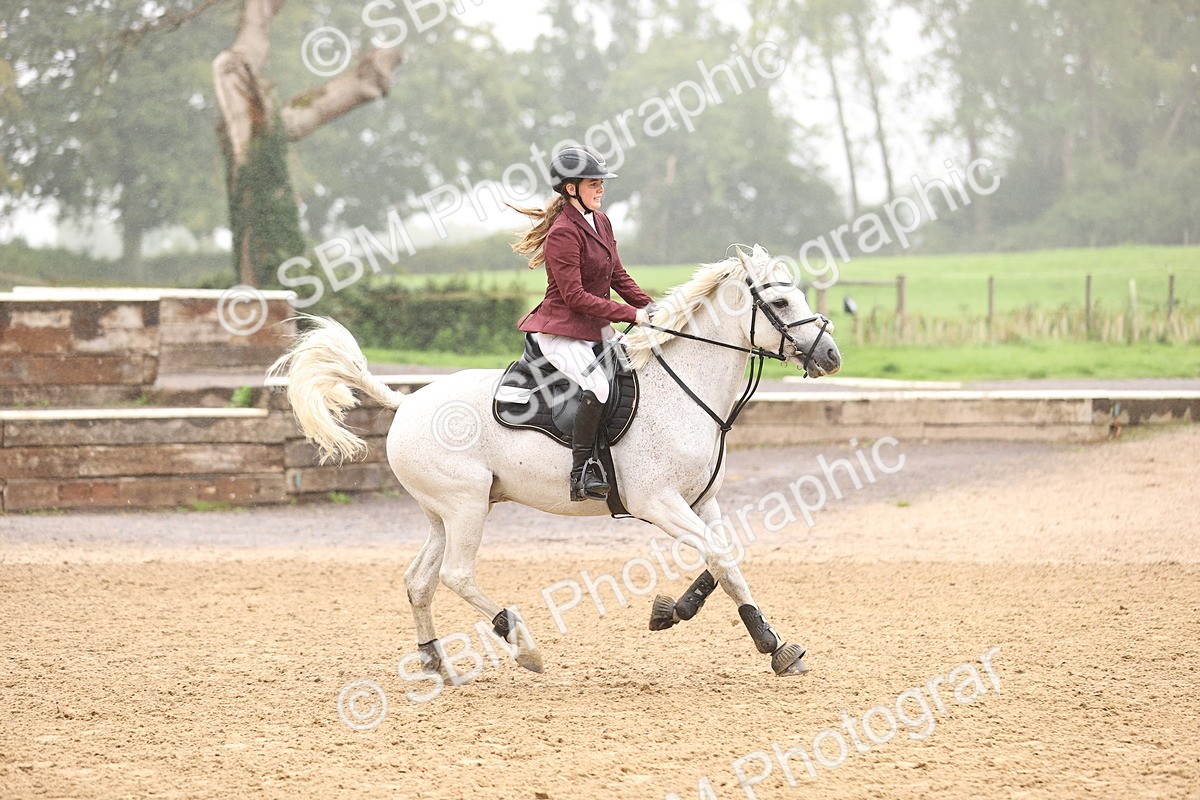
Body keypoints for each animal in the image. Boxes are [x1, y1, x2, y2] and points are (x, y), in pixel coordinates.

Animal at [268, 244, 842, 677]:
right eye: (782, 299)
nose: (832, 356)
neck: (685, 388)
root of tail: (406, 403)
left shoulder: (704, 500)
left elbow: (724, 557)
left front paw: (681, 614)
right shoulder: (659, 502)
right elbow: (721, 557)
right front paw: (770, 645)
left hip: (444, 513)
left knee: (419, 580)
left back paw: (436, 662)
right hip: (466, 506)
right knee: (455, 575)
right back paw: (524, 645)